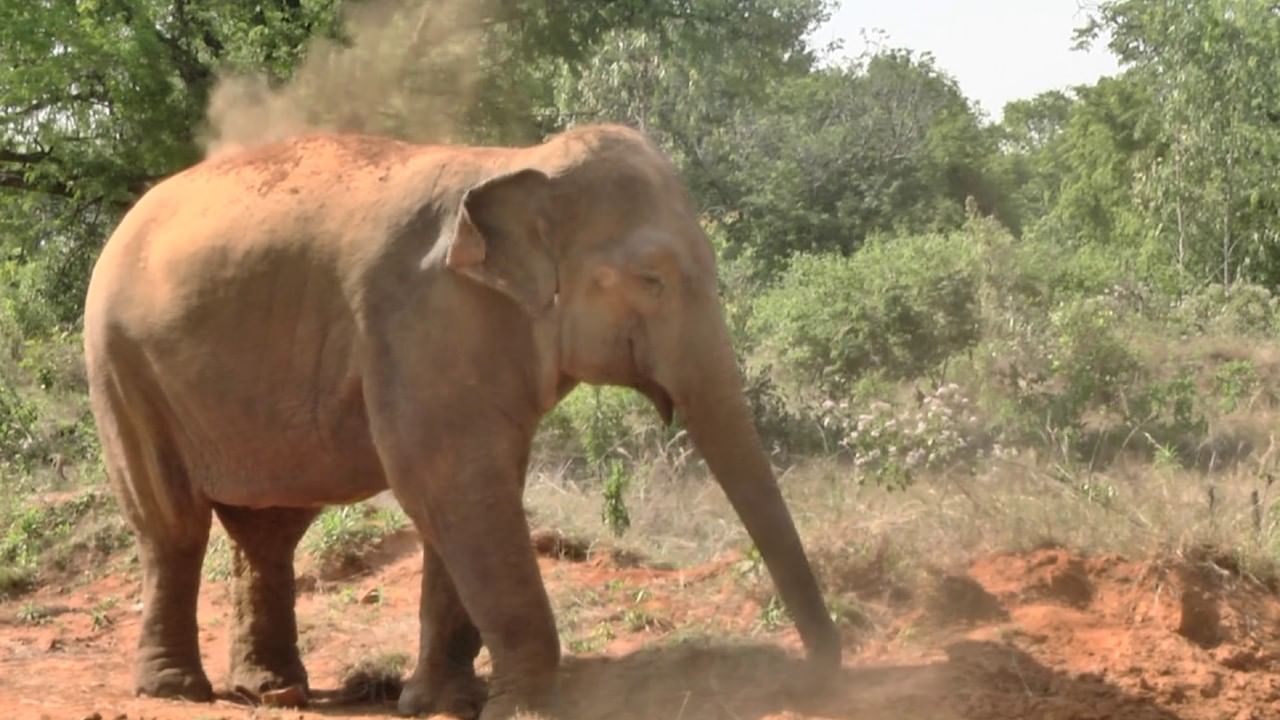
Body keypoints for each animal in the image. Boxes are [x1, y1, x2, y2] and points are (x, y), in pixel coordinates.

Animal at [82, 120, 839, 712]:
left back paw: (270, 691)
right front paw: (523, 708)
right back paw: (176, 689)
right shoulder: (420, 320)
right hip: (121, 365)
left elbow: (466, 492)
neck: (517, 161)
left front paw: (442, 703)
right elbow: (452, 484)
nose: (827, 679)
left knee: (268, 530)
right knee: (172, 521)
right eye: (650, 280)